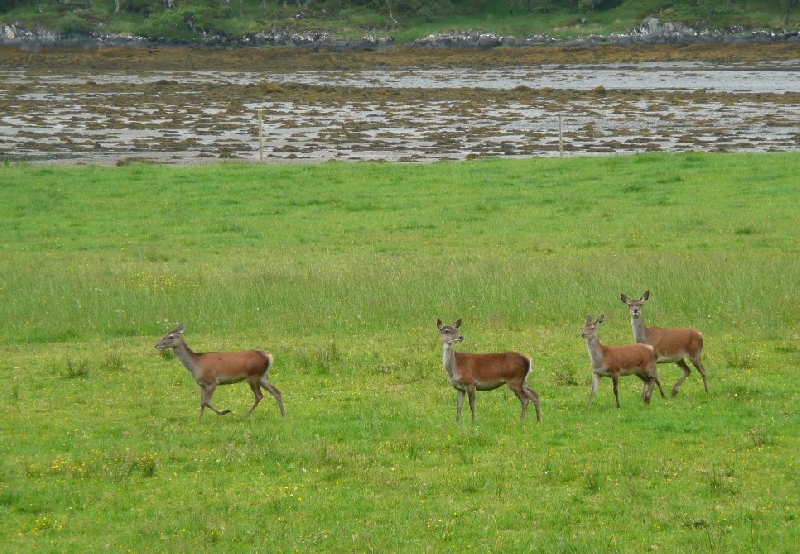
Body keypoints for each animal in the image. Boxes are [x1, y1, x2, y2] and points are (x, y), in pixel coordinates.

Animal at [153, 324, 284, 418]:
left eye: (170, 337)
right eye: (164, 334)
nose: (156, 345)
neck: (195, 364)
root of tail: (268, 357)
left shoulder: (212, 381)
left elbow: (206, 402)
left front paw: (224, 411)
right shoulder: (202, 384)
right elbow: (202, 402)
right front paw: (200, 419)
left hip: (253, 375)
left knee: (259, 395)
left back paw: (247, 415)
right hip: (263, 376)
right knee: (277, 391)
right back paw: (283, 415)